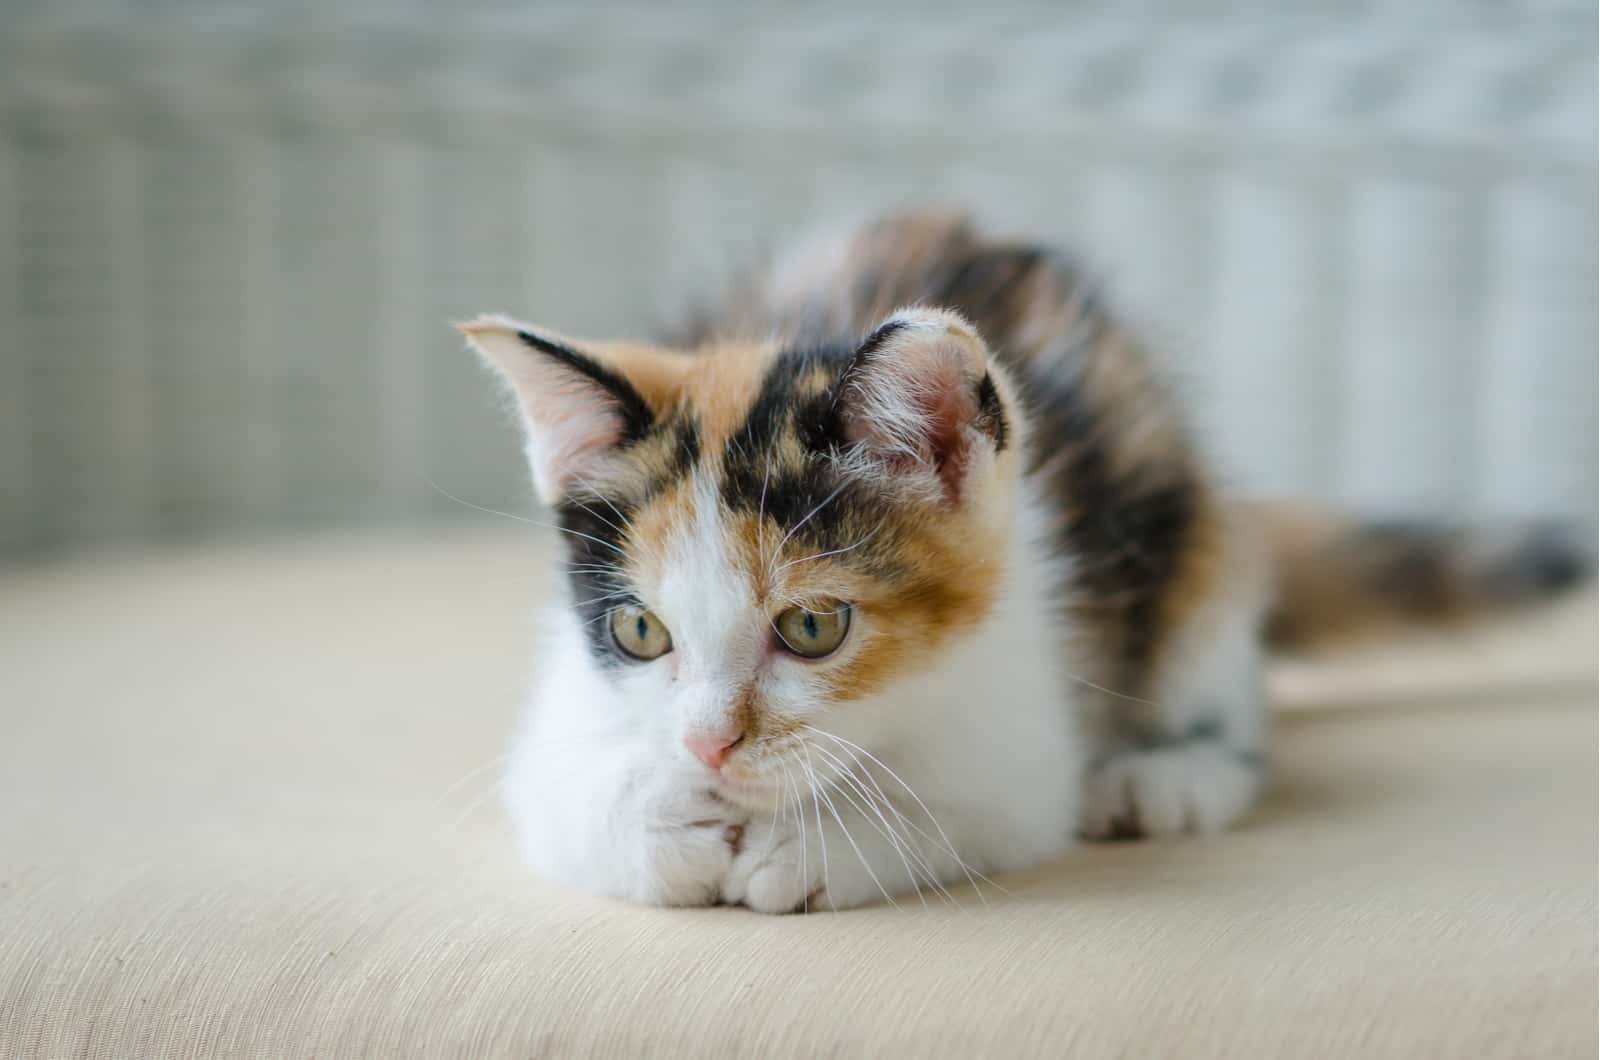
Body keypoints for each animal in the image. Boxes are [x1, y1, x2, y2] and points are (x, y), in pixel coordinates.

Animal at [457, 211, 1580, 915]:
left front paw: (817, 844)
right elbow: (553, 794)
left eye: (814, 627)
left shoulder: (1026, 707)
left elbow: (973, 807)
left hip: (1195, 543)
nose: (707, 749)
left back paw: (1168, 776)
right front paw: (661, 819)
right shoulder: (568, 704)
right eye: (639, 631)